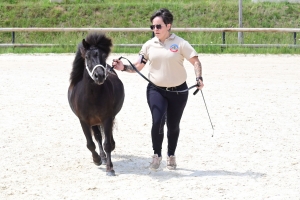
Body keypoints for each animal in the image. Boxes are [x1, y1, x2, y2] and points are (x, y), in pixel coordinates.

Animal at [68, 32, 124, 175]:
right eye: (87, 57)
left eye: (103, 56)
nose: (99, 75)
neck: (92, 97)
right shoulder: (83, 121)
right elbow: (90, 143)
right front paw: (97, 159)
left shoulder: (107, 118)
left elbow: (107, 143)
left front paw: (110, 168)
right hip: (93, 122)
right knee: (98, 137)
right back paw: (102, 157)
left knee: (106, 137)